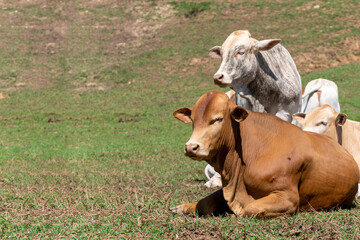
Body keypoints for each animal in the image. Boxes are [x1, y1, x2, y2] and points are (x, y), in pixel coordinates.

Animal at [172, 90, 358, 218]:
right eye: (193, 120)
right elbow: (204, 204)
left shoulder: (288, 196)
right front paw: (182, 207)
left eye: (218, 119)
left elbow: (251, 208)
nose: (191, 147)